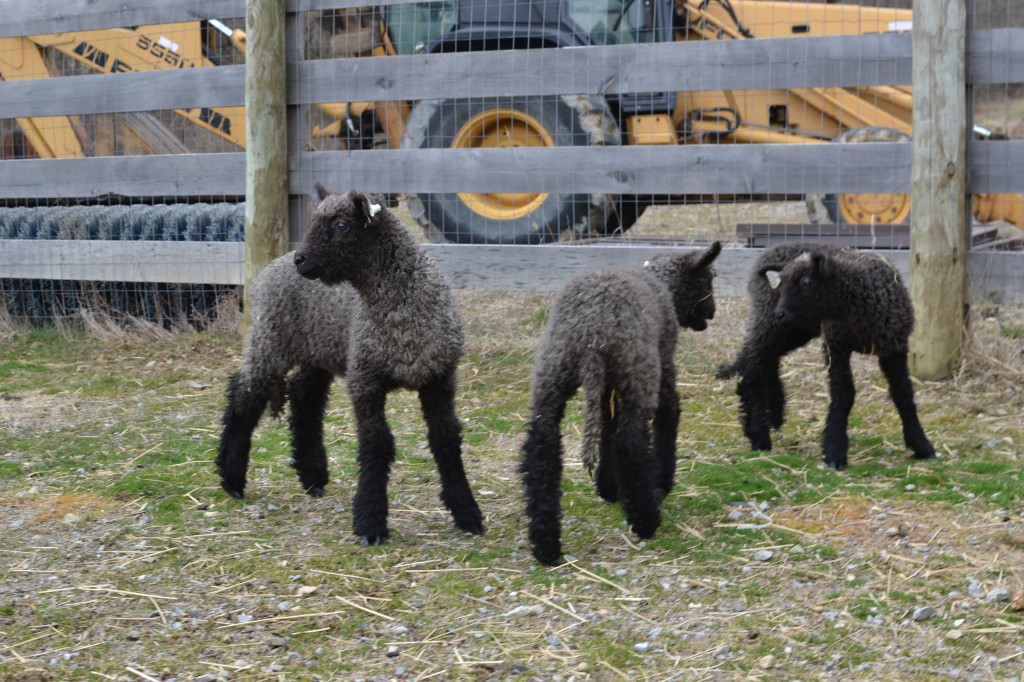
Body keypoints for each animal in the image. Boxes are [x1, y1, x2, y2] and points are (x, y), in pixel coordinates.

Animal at [215, 183, 483, 544]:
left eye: (341, 225)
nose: (302, 260)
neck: (400, 311)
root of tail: (267, 272)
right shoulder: (364, 378)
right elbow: (376, 443)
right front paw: (370, 522)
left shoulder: (439, 377)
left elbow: (446, 439)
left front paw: (467, 513)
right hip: (271, 341)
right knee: (244, 396)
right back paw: (231, 478)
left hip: (320, 347)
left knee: (304, 397)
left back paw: (313, 476)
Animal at [520, 241, 720, 561]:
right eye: (707, 279)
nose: (711, 313)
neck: (661, 282)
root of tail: (590, 335)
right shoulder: (663, 365)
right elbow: (668, 417)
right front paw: (661, 482)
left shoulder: (608, 387)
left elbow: (606, 426)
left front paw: (607, 487)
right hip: (639, 374)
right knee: (630, 444)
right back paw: (646, 519)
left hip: (552, 375)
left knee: (542, 448)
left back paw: (545, 544)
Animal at [716, 241, 937, 471]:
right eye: (782, 284)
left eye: (806, 281)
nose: (781, 313)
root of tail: (771, 249)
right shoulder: (836, 345)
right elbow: (843, 394)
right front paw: (834, 450)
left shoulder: (895, 348)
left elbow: (903, 394)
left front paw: (922, 445)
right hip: (771, 319)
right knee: (753, 367)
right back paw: (758, 434)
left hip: (796, 328)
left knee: (765, 359)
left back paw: (775, 413)